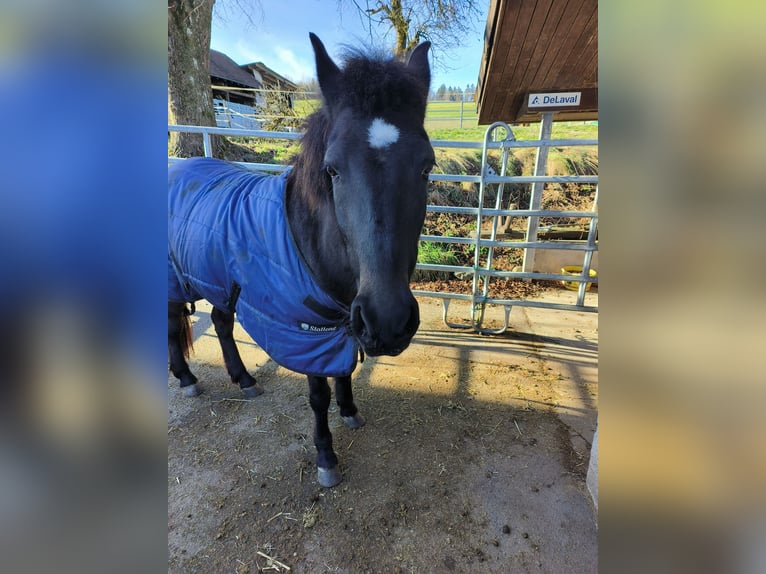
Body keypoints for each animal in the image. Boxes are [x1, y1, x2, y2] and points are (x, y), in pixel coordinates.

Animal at [168, 33, 432, 488]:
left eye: (426, 168)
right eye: (333, 169)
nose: (389, 320)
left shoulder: (341, 323)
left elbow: (344, 370)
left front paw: (350, 411)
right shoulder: (304, 330)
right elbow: (318, 393)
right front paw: (326, 456)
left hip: (219, 283)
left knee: (220, 322)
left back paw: (243, 379)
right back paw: (186, 378)